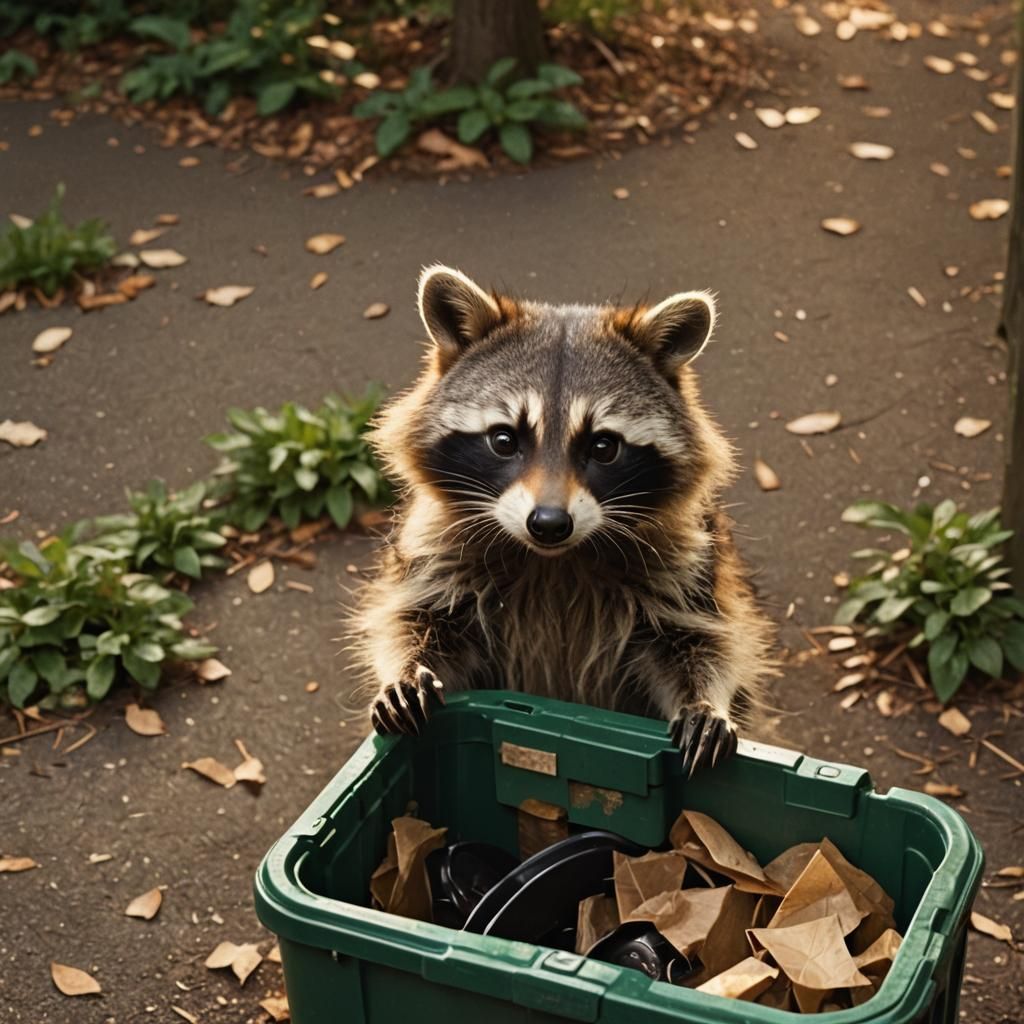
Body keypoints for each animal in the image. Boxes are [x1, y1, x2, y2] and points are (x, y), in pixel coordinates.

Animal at [352, 266, 774, 775]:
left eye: (603, 446)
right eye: (504, 440)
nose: (549, 523)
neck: (553, 560)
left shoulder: (689, 563)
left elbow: (698, 642)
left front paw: (704, 700)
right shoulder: (434, 549)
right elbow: (415, 620)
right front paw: (405, 668)